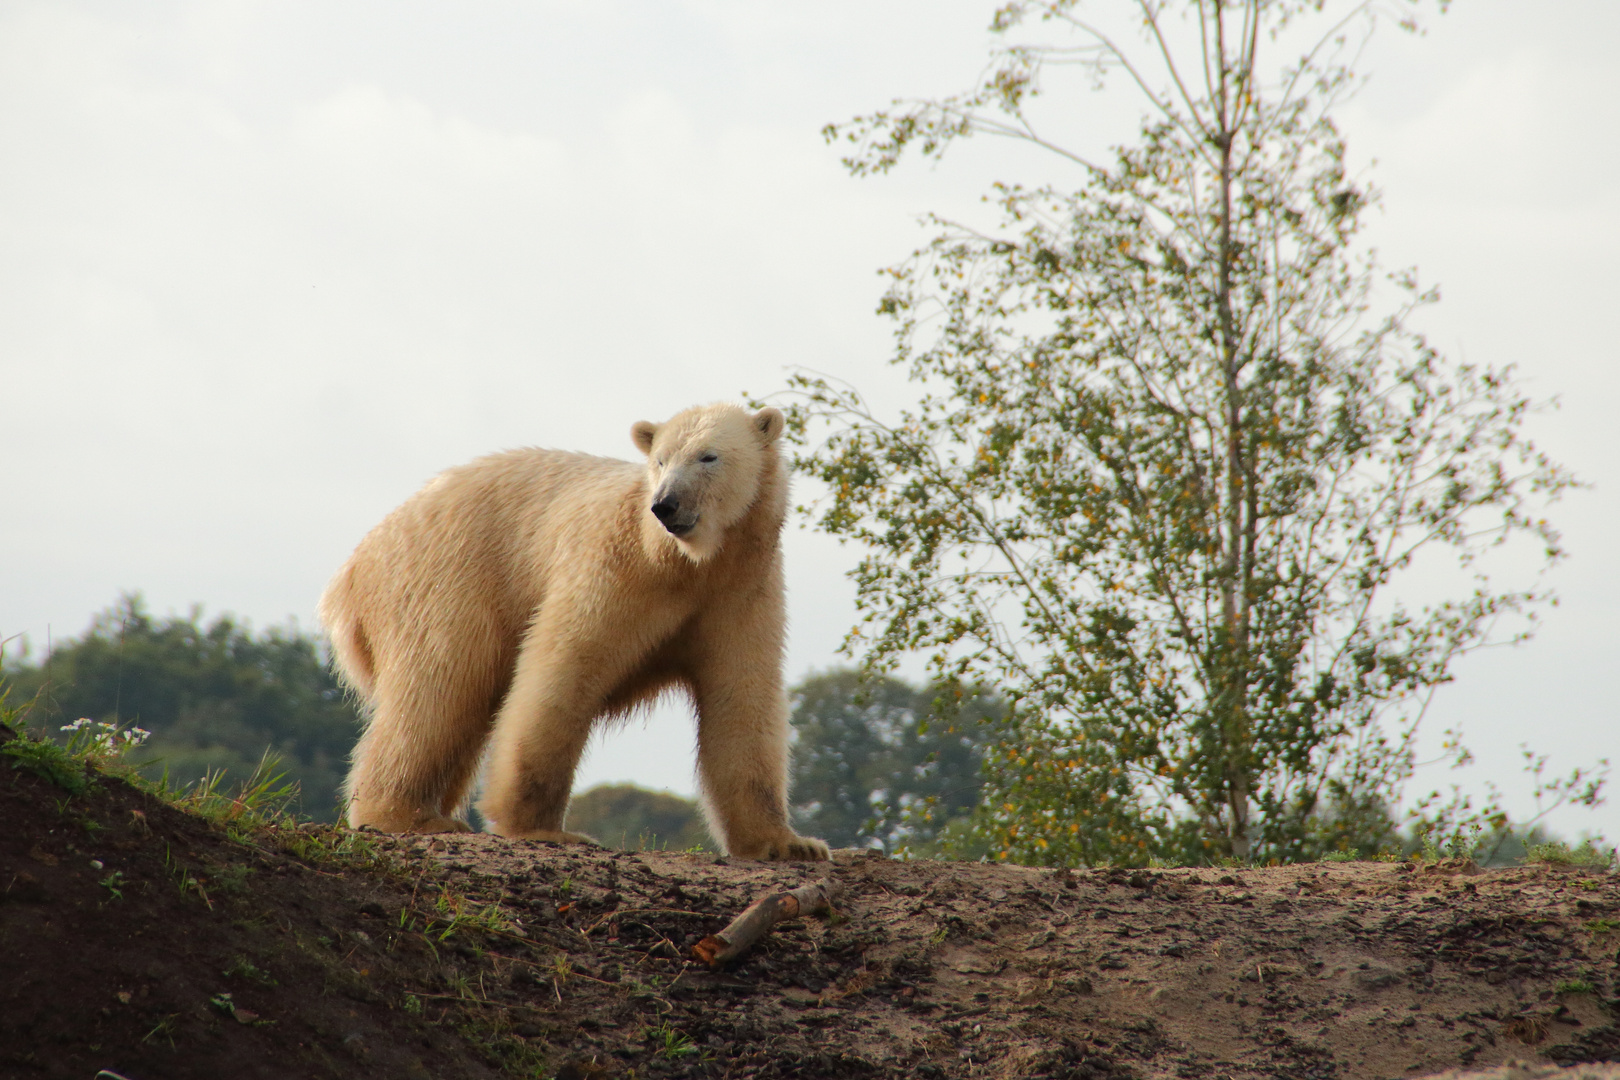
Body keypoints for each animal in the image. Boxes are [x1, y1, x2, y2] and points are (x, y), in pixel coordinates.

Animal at [317, 404, 829, 861]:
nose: (666, 505)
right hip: (445, 578)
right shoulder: (613, 571)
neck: (682, 563)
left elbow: (742, 697)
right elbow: (563, 671)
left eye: (708, 456)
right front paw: (543, 828)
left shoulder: (740, 590)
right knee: (439, 685)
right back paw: (407, 815)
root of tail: (349, 574)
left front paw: (790, 844)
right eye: (661, 459)